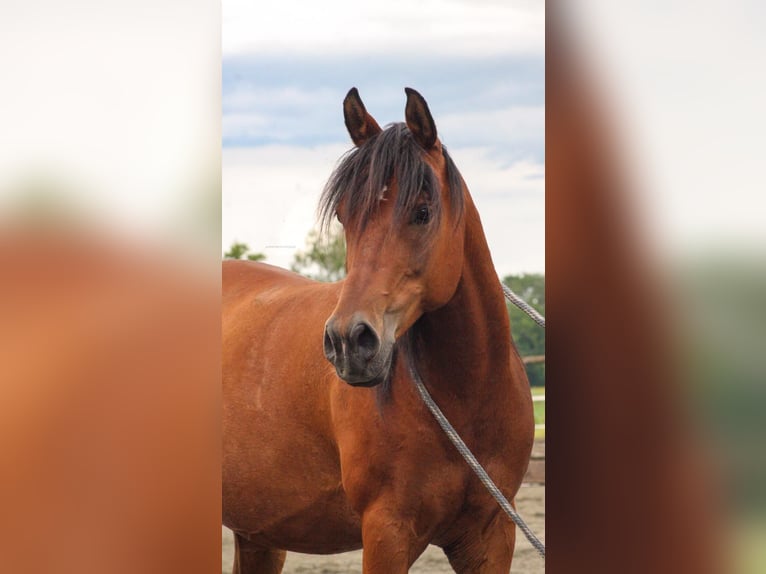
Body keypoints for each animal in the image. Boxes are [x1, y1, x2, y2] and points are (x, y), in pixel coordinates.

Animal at [222, 88, 536, 572]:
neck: (469, 400)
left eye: (422, 212)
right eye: (344, 216)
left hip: (258, 534)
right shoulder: (387, 534)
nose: (348, 342)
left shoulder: (491, 536)